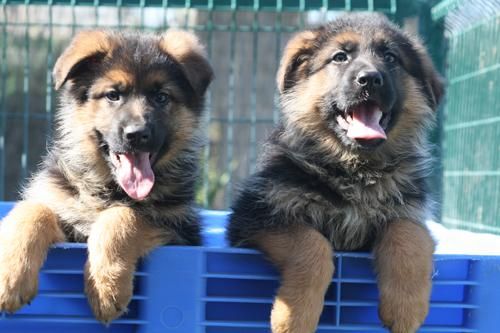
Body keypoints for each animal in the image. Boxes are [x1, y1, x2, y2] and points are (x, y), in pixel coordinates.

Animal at [0, 29, 213, 322]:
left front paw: (106, 287)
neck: (108, 188)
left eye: (161, 97)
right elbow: (33, 211)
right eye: (113, 95)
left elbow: (122, 215)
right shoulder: (65, 214)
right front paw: (11, 276)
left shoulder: (176, 229)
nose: (137, 135)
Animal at [229, 13, 444, 332]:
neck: (354, 170)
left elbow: (408, 235)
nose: (370, 79)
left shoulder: (410, 211)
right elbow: (312, 246)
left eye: (391, 57)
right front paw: (293, 317)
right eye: (340, 57)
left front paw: (406, 308)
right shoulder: (258, 216)